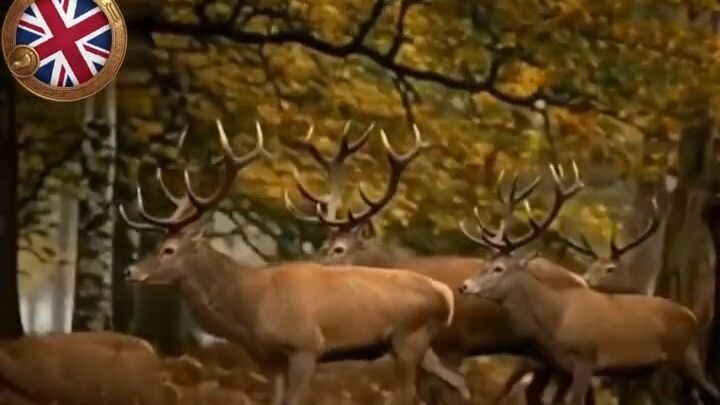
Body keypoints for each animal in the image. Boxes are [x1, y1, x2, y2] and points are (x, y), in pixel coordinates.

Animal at [119, 119, 468, 405]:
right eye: (157, 243)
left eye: (169, 250)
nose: (130, 271)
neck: (252, 309)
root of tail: (445, 296)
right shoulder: (269, 360)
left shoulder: (306, 346)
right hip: (422, 346)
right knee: (457, 384)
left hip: (408, 338)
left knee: (411, 394)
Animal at [459, 213, 720, 405]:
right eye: (484, 264)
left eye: (499, 268)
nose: (464, 286)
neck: (555, 318)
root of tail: (692, 316)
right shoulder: (562, 366)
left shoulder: (586, 358)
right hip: (654, 368)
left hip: (679, 356)